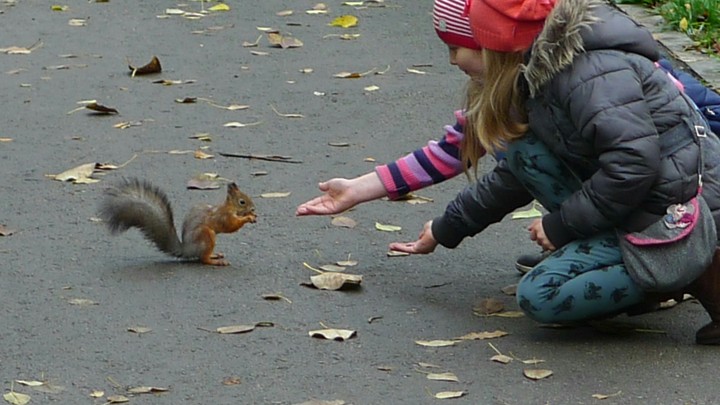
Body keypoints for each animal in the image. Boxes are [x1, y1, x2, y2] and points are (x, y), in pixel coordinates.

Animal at [98, 178, 256, 266]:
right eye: (242, 202)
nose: (253, 208)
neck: (229, 207)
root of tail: (188, 249)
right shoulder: (222, 217)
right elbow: (231, 225)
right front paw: (248, 218)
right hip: (206, 236)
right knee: (203, 259)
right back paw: (215, 261)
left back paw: (215, 255)